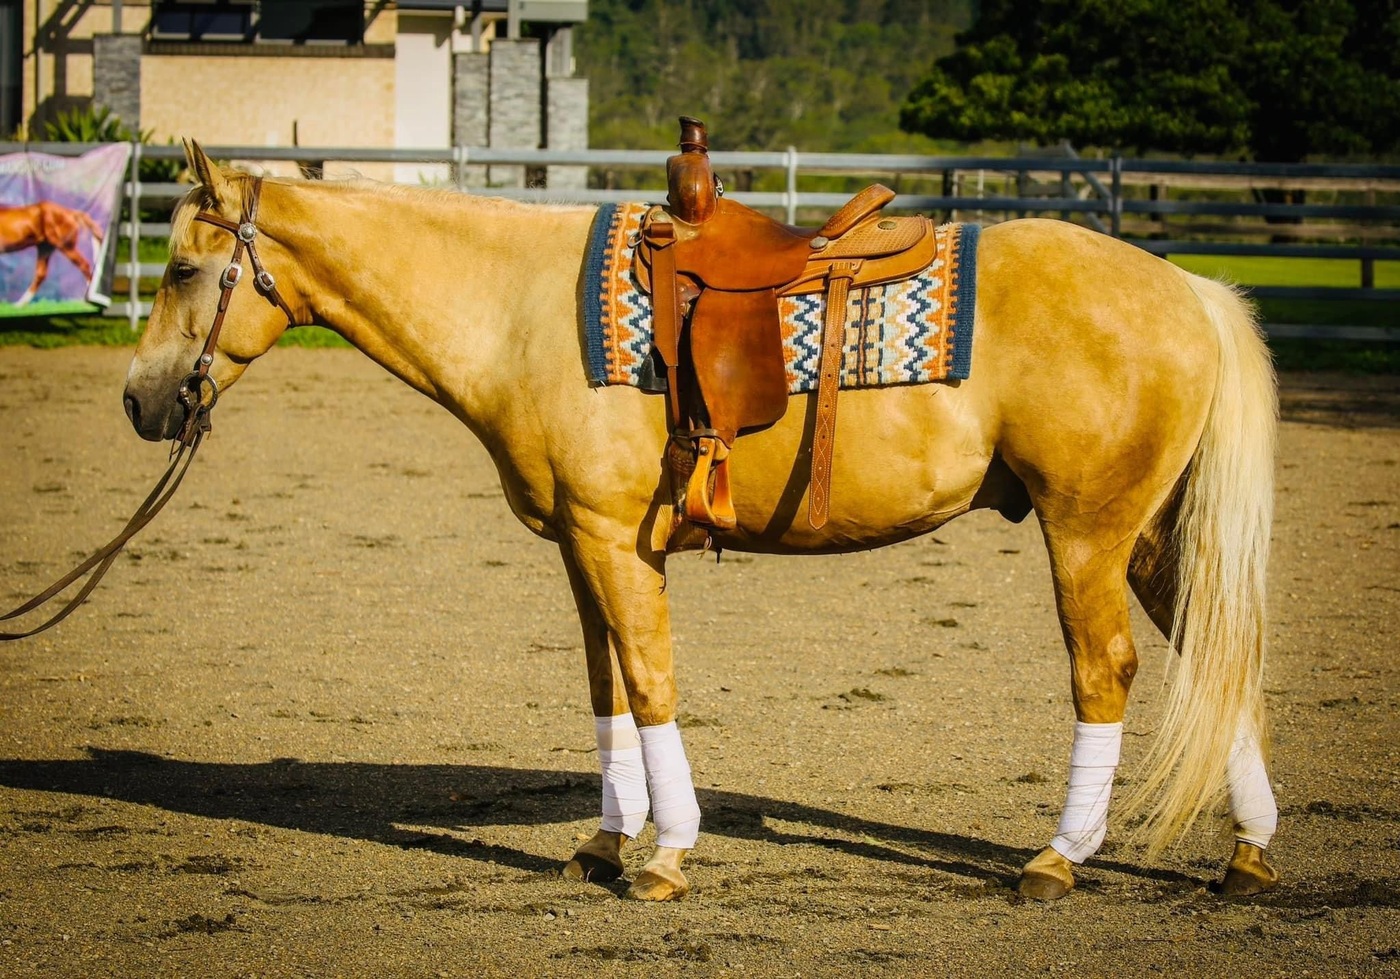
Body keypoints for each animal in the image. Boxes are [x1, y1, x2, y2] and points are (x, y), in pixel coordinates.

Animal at [122, 142, 1280, 903]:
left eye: (181, 269)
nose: (139, 401)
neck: (520, 308)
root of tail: (1186, 288)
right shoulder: (580, 546)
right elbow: (605, 690)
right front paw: (604, 841)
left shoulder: (613, 540)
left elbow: (649, 684)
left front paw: (668, 854)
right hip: (1149, 536)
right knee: (1218, 652)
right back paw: (1247, 851)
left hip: (1086, 531)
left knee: (1105, 670)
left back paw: (1059, 856)